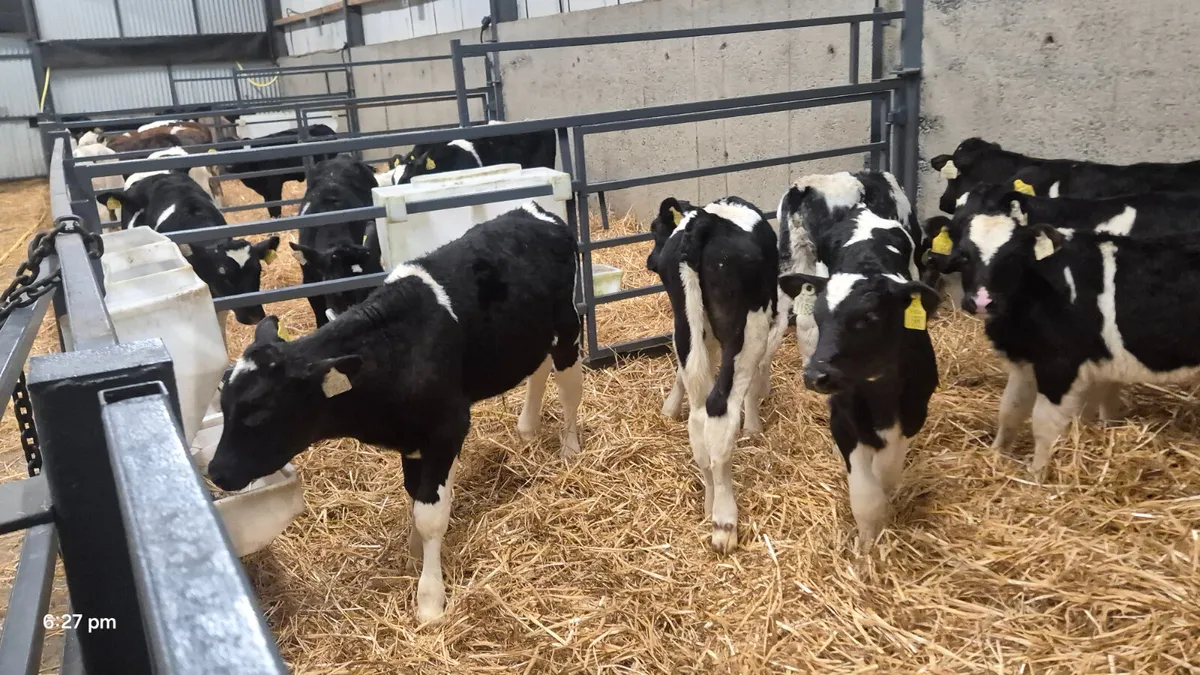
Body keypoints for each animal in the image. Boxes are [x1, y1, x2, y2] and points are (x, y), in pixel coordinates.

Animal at [206, 202, 583, 623]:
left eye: (258, 410)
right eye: (223, 401)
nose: (216, 471)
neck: (394, 349)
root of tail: (530, 209)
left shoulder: (448, 428)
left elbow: (430, 514)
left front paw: (430, 599)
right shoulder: (411, 436)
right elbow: (415, 495)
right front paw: (415, 552)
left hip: (568, 324)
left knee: (570, 384)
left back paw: (570, 449)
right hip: (528, 335)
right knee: (539, 369)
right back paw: (528, 429)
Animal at [645, 196, 779, 554]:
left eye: (655, 228)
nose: (650, 261)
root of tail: (701, 223)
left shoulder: (701, 334)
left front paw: (669, 408)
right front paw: (754, 426)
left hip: (686, 321)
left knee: (699, 416)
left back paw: (708, 503)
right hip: (747, 329)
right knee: (720, 409)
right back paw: (724, 522)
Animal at [777, 206, 939, 548]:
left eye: (869, 317)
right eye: (820, 315)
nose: (816, 375)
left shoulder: (915, 411)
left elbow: (887, 469)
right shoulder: (842, 416)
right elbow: (866, 494)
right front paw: (866, 544)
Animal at [939, 187, 1200, 480]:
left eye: (1013, 256)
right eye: (964, 255)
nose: (983, 301)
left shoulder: (1059, 366)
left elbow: (1043, 425)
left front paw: (1036, 476)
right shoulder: (1027, 362)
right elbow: (1010, 411)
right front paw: (995, 457)